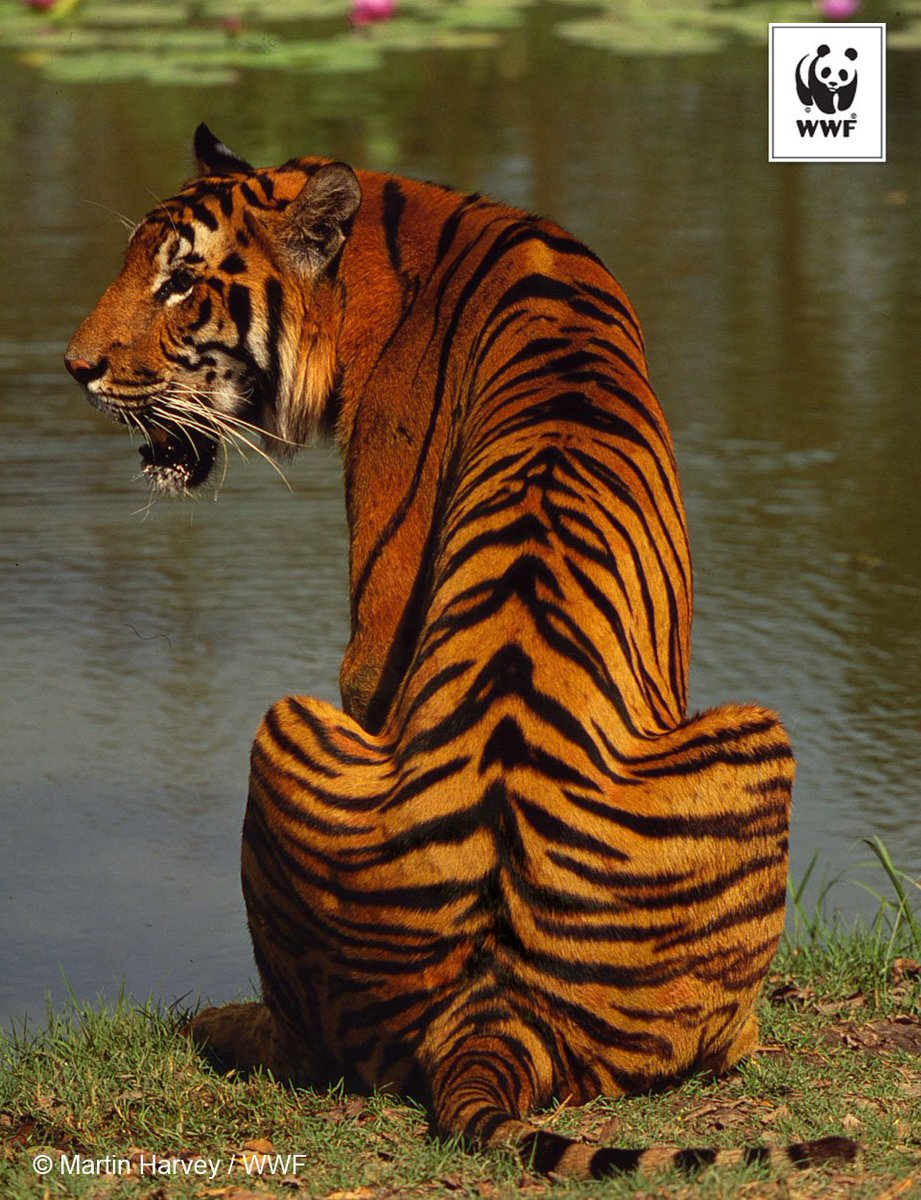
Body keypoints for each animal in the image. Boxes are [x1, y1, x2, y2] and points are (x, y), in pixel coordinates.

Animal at [64, 124, 856, 1179]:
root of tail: (495, 1016)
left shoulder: (373, 634)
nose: (74, 368)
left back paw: (212, 1022)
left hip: (296, 724)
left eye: (182, 283)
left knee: (298, 1042)